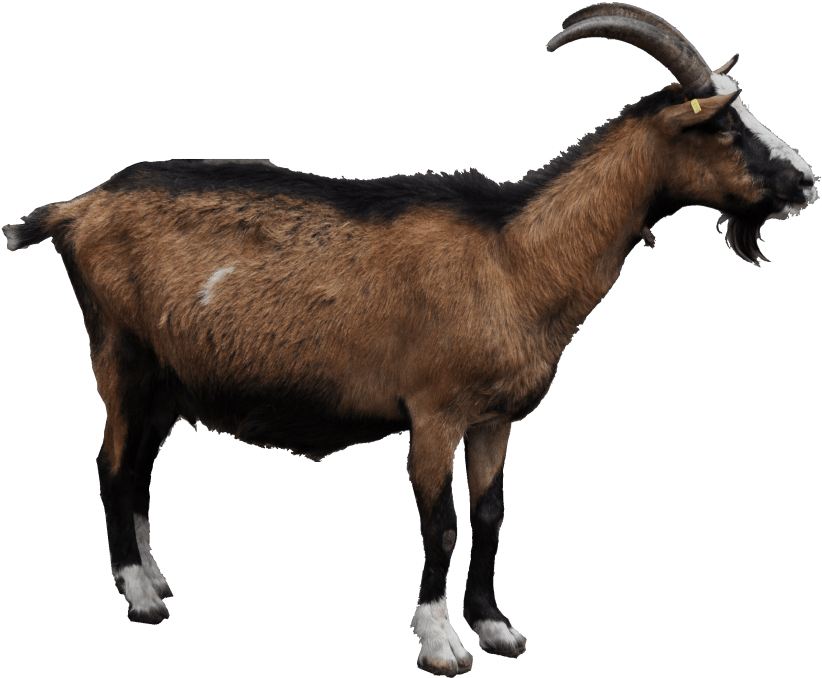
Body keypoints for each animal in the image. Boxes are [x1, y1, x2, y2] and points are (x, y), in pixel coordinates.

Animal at [3, 3, 816, 676]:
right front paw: (441, 643)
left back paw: (155, 577)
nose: (807, 181)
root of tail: (77, 208)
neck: (512, 256)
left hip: (169, 381)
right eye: (721, 125)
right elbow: (441, 523)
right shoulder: (433, 413)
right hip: (120, 357)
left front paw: (496, 628)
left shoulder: (495, 419)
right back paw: (140, 597)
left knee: (139, 466)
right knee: (112, 465)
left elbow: (490, 515)